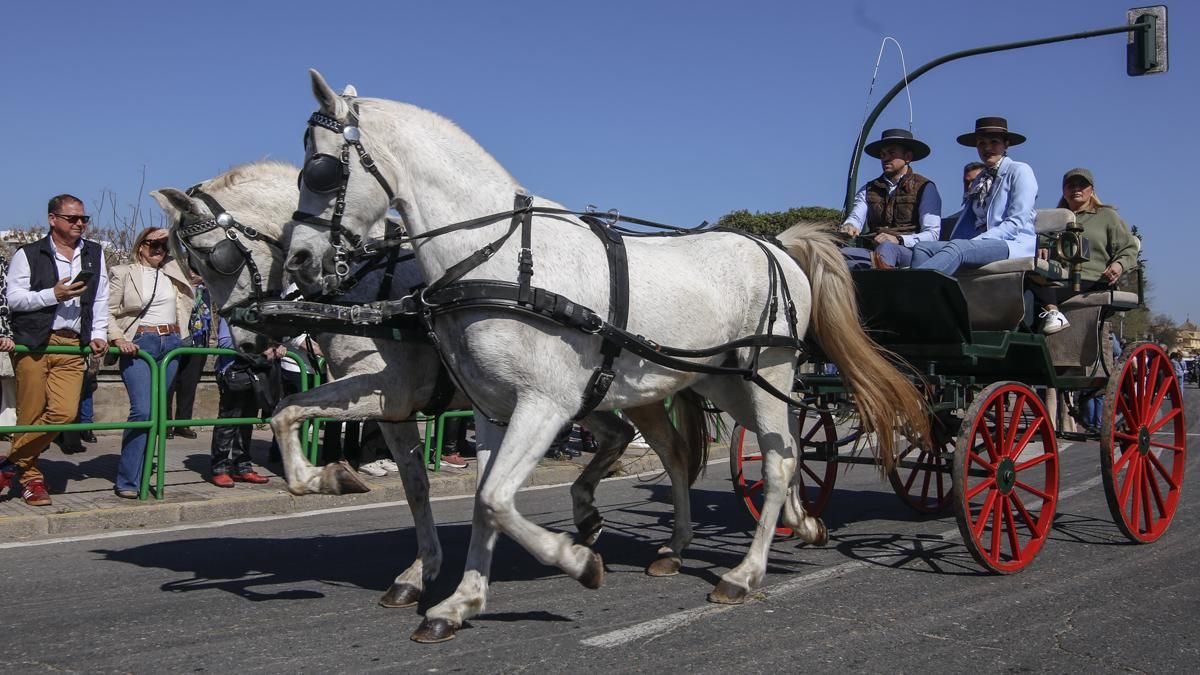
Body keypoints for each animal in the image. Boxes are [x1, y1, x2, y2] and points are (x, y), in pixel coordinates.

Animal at [152, 160, 713, 610]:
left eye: (209, 256)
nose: (246, 339)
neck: (362, 289)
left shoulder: (385, 388)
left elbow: (287, 410)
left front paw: (327, 479)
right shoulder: (395, 410)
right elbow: (414, 486)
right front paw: (418, 571)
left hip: (632, 391)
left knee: (671, 453)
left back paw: (673, 546)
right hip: (580, 393)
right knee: (619, 437)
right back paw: (591, 515)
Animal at [284, 69, 928, 642]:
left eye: (320, 167)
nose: (298, 261)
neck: (500, 258)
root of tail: (778, 245)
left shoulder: (543, 405)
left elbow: (495, 499)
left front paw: (575, 559)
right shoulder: (492, 410)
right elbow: (485, 504)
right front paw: (461, 601)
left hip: (766, 371)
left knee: (773, 462)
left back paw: (745, 573)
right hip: (723, 383)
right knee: (779, 449)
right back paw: (787, 525)